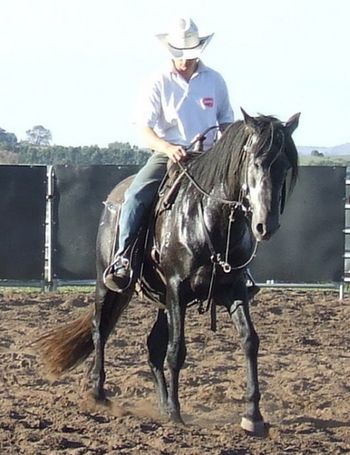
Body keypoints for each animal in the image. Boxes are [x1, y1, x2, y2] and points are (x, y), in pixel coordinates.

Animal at [34, 108, 298, 436]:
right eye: (257, 162)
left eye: (285, 166)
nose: (265, 226)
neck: (207, 218)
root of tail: (114, 197)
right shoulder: (177, 288)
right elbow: (177, 350)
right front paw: (175, 411)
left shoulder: (232, 289)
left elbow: (249, 341)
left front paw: (253, 415)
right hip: (110, 285)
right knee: (100, 329)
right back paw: (98, 393)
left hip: (162, 300)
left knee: (151, 347)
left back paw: (158, 403)